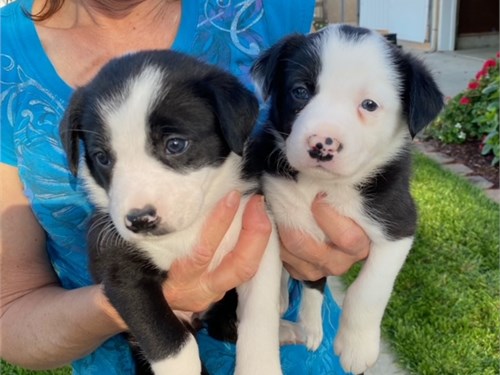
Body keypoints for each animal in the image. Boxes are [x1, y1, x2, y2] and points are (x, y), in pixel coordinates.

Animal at [60, 50, 284, 375]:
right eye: (102, 158)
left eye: (175, 145)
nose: (140, 220)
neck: (186, 232)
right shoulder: (120, 270)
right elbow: (171, 343)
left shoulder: (259, 238)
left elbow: (260, 319)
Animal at [248, 25, 444, 374]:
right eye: (300, 91)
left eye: (369, 104)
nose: (321, 144)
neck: (323, 186)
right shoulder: (267, 213)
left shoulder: (398, 224)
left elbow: (368, 290)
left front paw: (357, 347)